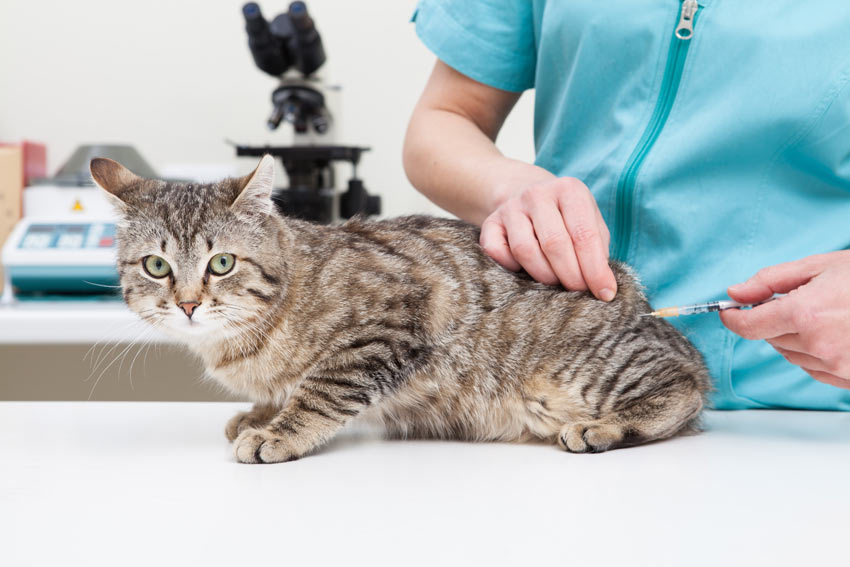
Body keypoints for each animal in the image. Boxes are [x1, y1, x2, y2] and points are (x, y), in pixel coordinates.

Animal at [91, 154, 708, 462]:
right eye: (156, 266)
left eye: (221, 263)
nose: (189, 304)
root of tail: (646, 306)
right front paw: (261, 413)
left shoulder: (390, 321)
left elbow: (321, 392)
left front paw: (279, 432)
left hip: (587, 368)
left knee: (686, 387)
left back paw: (605, 427)